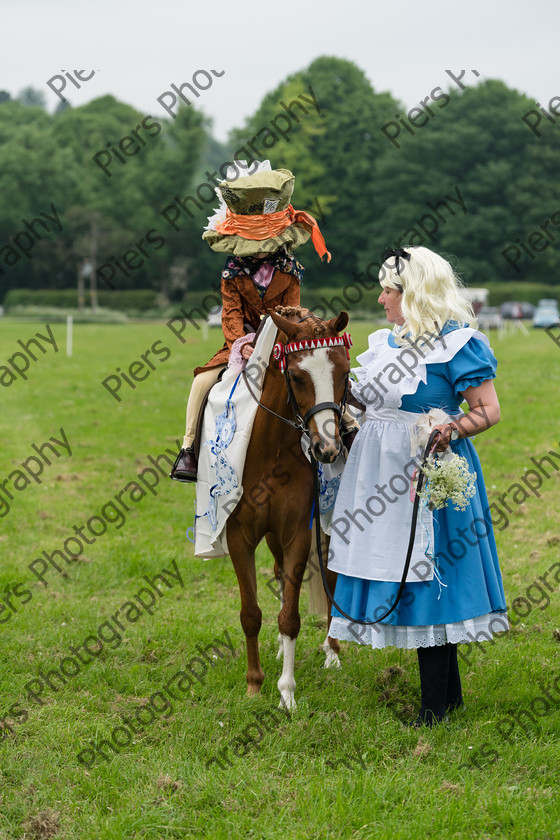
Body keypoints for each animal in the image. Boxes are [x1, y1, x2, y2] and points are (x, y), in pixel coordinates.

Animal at [224, 306, 350, 704]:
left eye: (345, 372)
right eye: (295, 376)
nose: (328, 448)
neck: (271, 451)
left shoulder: (298, 532)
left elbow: (290, 617)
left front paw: (287, 693)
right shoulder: (239, 535)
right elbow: (251, 613)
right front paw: (254, 683)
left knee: (329, 577)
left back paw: (332, 651)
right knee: (279, 575)